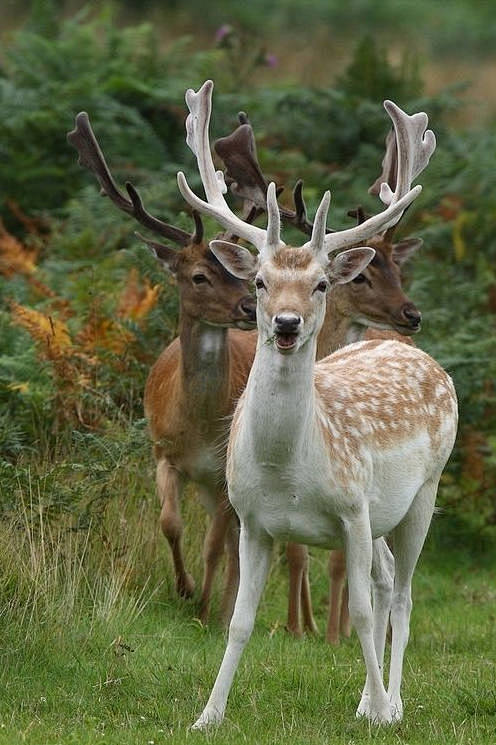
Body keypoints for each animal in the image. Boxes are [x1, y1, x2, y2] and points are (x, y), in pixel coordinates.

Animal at [68, 112, 258, 620]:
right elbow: (170, 523)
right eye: (199, 276)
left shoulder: (221, 472)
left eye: (244, 272)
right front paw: (185, 588)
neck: (197, 428)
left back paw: (227, 604)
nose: (251, 306)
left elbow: (212, 543)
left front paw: (205, 603)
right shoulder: (162, 452)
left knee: (236, 538)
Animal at [213, 103, 434, 640]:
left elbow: (359, 606)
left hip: (422, 495)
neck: (285, 469)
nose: (286, 323)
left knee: (401, 592)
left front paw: (341, 642)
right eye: (258, 281)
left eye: (321, 284)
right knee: (386, 576)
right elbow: (240, 619)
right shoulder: (250, 518)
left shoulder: (355, 513)